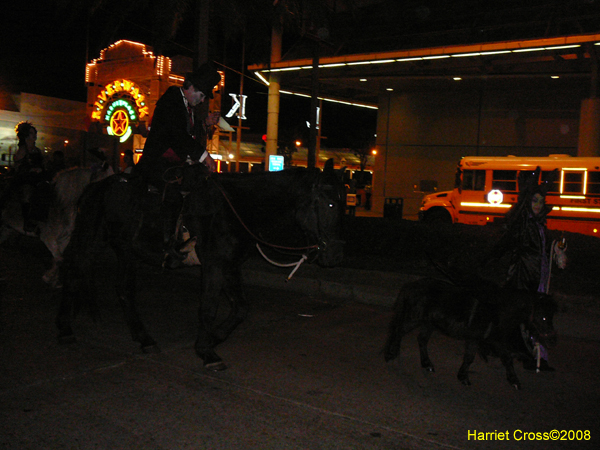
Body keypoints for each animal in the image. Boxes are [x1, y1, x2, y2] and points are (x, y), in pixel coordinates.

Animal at [56, 160, 346, 370]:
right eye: (330, 203)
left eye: (344, 204)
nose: (334, 255)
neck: (235, 208)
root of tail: (95, 187)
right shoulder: (215, 265)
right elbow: (208, 308)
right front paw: (207, 352)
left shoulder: (230, 266)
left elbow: (241, 308)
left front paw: (213, 339)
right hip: (91, 240)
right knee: (71, 272)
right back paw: (65, 330)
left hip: (126, 250)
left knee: (124, 290)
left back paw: (144, 338)